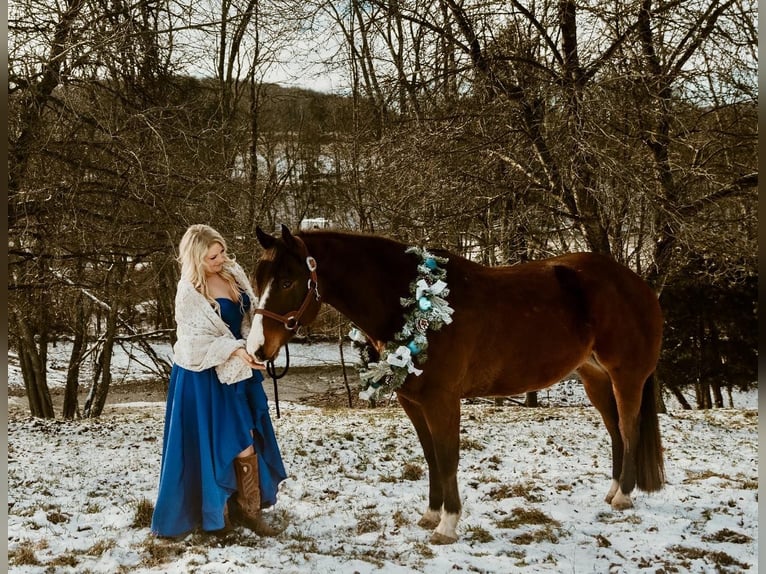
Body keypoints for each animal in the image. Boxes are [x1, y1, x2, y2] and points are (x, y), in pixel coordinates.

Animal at [248, 225, 664, 544]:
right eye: (257, 279)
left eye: (287, 280)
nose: (256, 348)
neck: (412, 302)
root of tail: (637, 283)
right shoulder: (413, 402)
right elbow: (432, 456)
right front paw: (431, 515)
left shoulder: (442, 400)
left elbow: (448, 457)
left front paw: (447, 526)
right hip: (595, 378)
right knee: (615, 430)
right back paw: (612, 492)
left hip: (626, 377)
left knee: (629, 428)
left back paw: (624, 498)